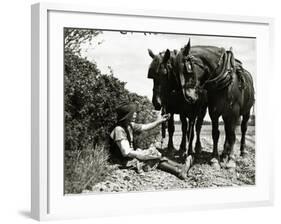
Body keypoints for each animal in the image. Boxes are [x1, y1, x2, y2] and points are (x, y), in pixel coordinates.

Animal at [173, 40, 254, 169]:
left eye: (187, 69)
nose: (189, 96)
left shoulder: (234, 113)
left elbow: (232, 136)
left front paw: (231, 161)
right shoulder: (214, 112)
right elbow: (216, 134)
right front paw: (215, 159)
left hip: (246, 112)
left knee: (243, 129)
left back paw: (242, 152)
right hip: (225, 115)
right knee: (226, 130)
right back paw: (224, 154)